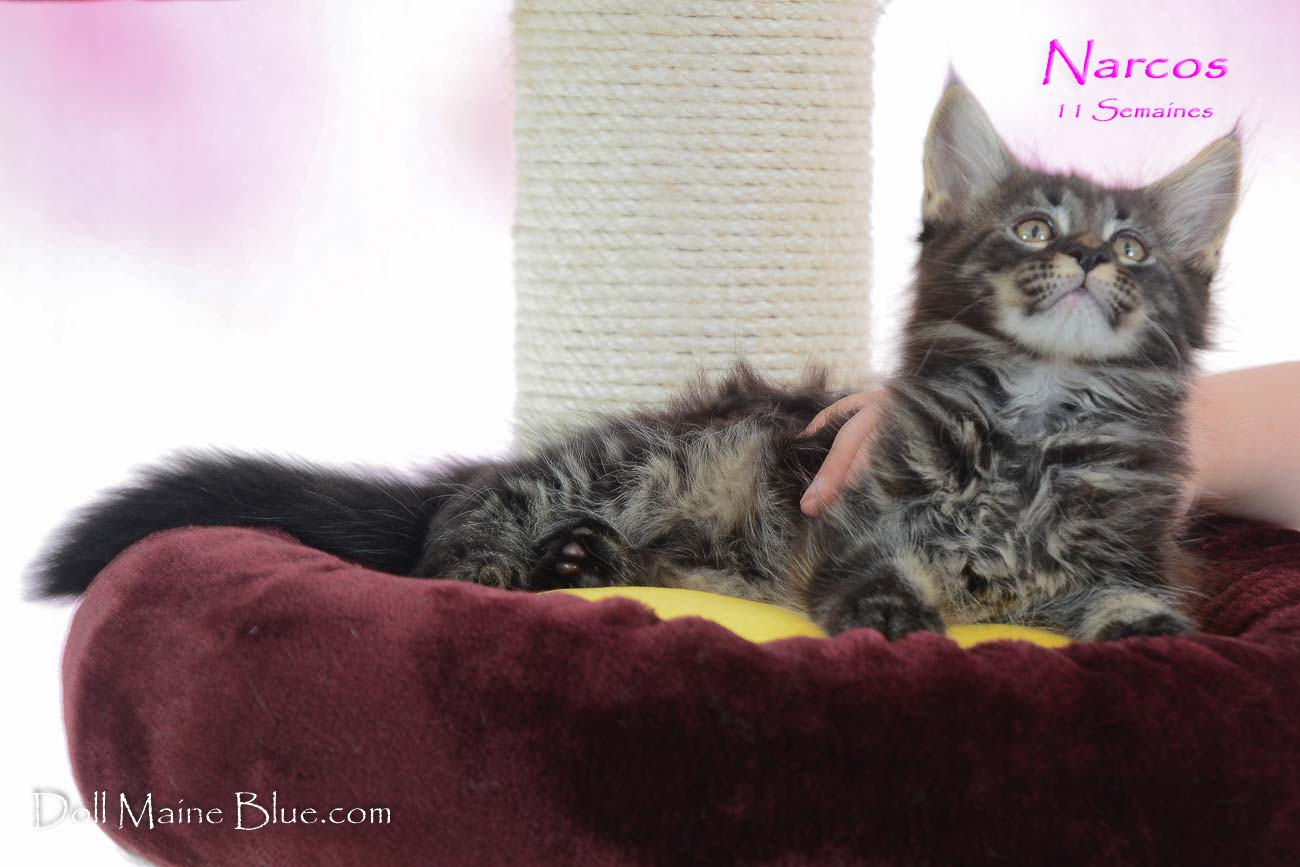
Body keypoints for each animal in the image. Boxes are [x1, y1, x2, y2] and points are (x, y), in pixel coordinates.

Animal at [31, 81, 1241, 642]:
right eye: (1033, 231)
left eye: (1135, 249)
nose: (1091, 257)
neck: (1032, 430)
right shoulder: (862, 524)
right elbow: (874, 581)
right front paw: (901, 624)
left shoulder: (1121, 549)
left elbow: (1130, 599)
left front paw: (1146, 636)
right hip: (639, 461)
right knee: (457, 523)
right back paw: (500, 573)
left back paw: (582, 563)